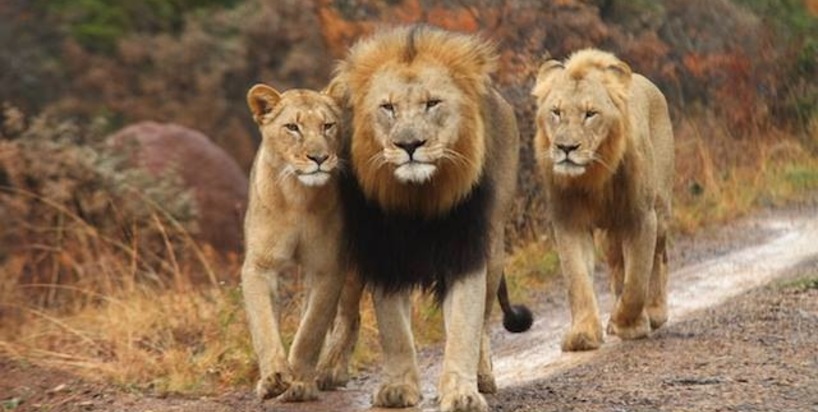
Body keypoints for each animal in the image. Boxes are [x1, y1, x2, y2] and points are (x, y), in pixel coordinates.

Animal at [241, 83, 345, 402]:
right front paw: (274, 378)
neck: (297, 195)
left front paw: (300, 383)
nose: (319, 158)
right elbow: (264, 325)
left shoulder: (328, 268)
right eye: (292, 127)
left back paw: (331, 370)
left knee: (349, 317)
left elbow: (311, 330)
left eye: (327, 126)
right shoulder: (259, 266)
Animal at [320, 26, 531, 412]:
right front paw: (397, 389)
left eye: (432, 103)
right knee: (347, 314)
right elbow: (394, 330)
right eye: (387, 107)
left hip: (495, 248)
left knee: (484, 320)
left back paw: (483, 375)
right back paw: (329, 370)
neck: (419, 197)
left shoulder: (467, 249)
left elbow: (464, 325)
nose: (409, 145)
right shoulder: (383, 256)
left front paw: (461, 392)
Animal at [531, 49, 674, 352]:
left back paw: (655, 313)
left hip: (661, 213)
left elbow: (637, 281)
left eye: (590, 114)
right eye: (556, 112)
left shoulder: (641, 218)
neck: (593, 176)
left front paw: (627, 324)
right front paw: (583, 335)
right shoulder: (569, 223)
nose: (566, 147)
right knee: (618, 267)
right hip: (611, 234)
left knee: (658, 260)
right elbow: (578, 281)